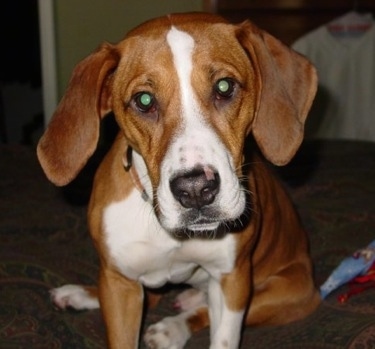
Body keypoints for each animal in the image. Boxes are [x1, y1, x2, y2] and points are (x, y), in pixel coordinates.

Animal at [36, 12, 322, 346]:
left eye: (224, 86)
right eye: (144, 100)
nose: (196, 189)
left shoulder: (233, 280)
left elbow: (222, 336)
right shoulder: (120, 283)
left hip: (287, 294)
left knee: (200, 311)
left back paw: (173, 325)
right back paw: (80, 295)